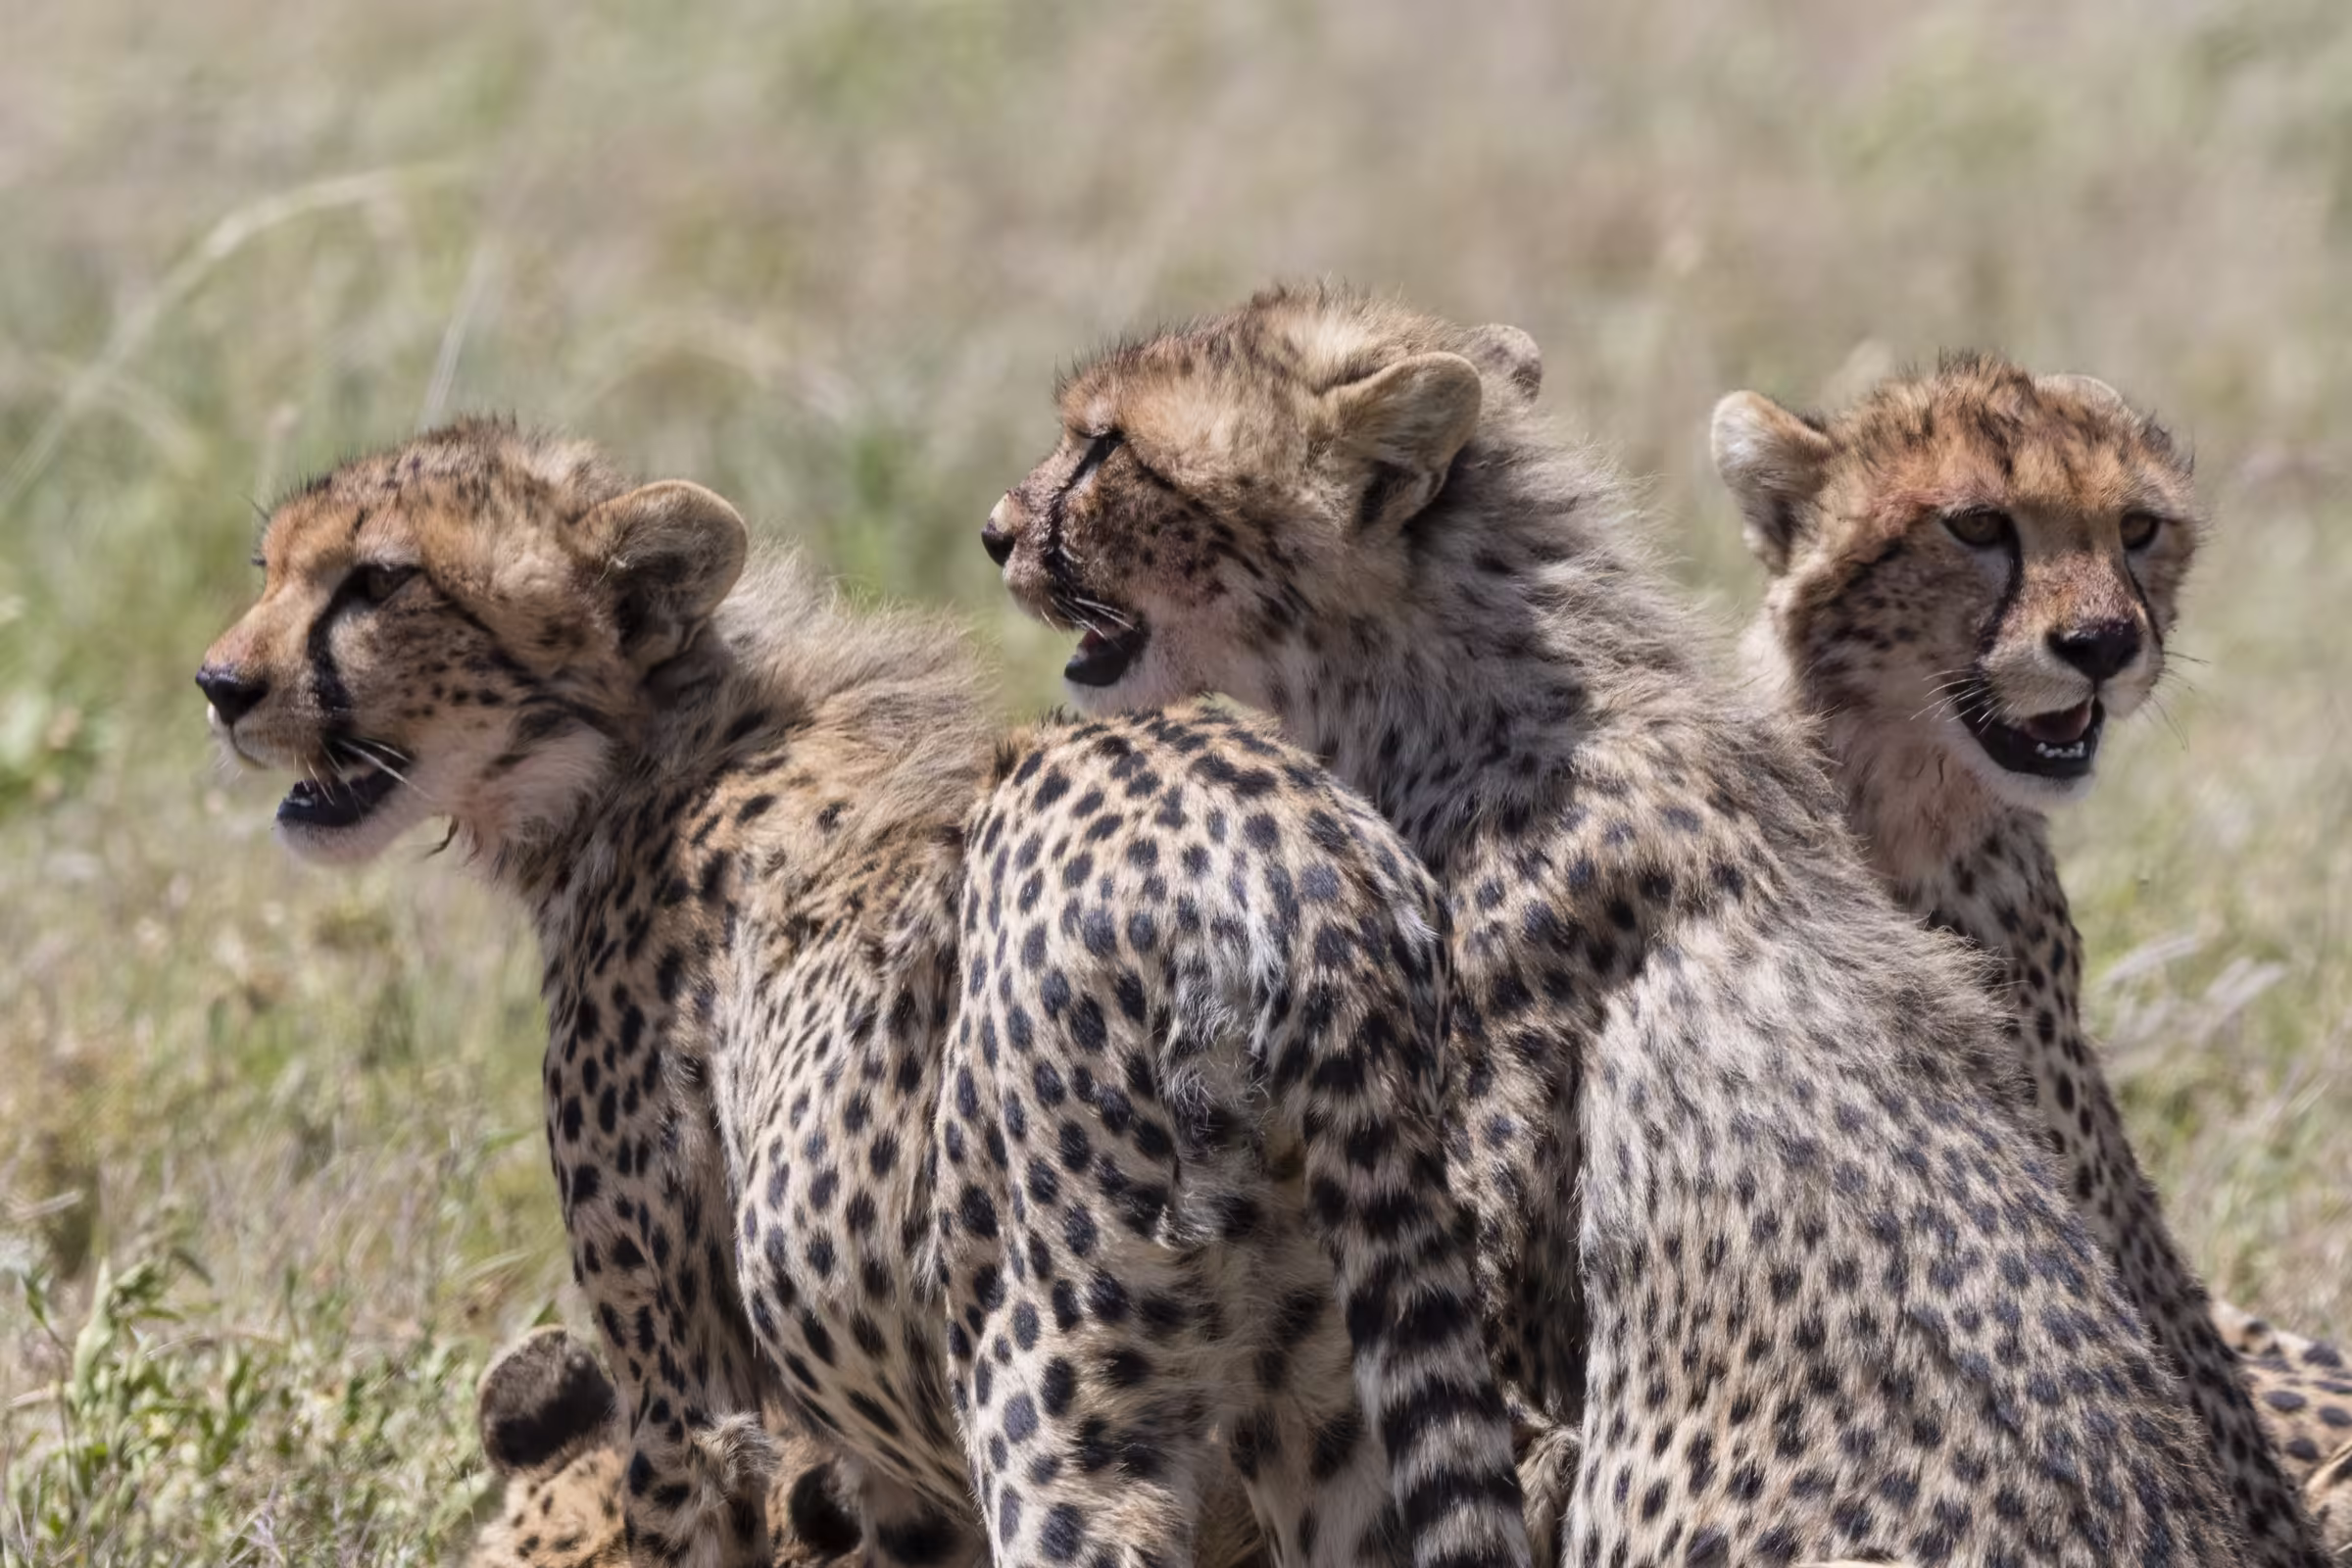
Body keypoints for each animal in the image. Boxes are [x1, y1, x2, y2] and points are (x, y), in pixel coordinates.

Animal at [195, 417, 1525, 1568]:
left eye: (380, 582)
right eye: (269, 565)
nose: (220, 683)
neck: (634, 755)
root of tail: (1283, 838)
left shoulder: (689, 1395)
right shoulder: (877, 1473)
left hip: (1049, 1376)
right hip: (1344, 1395)